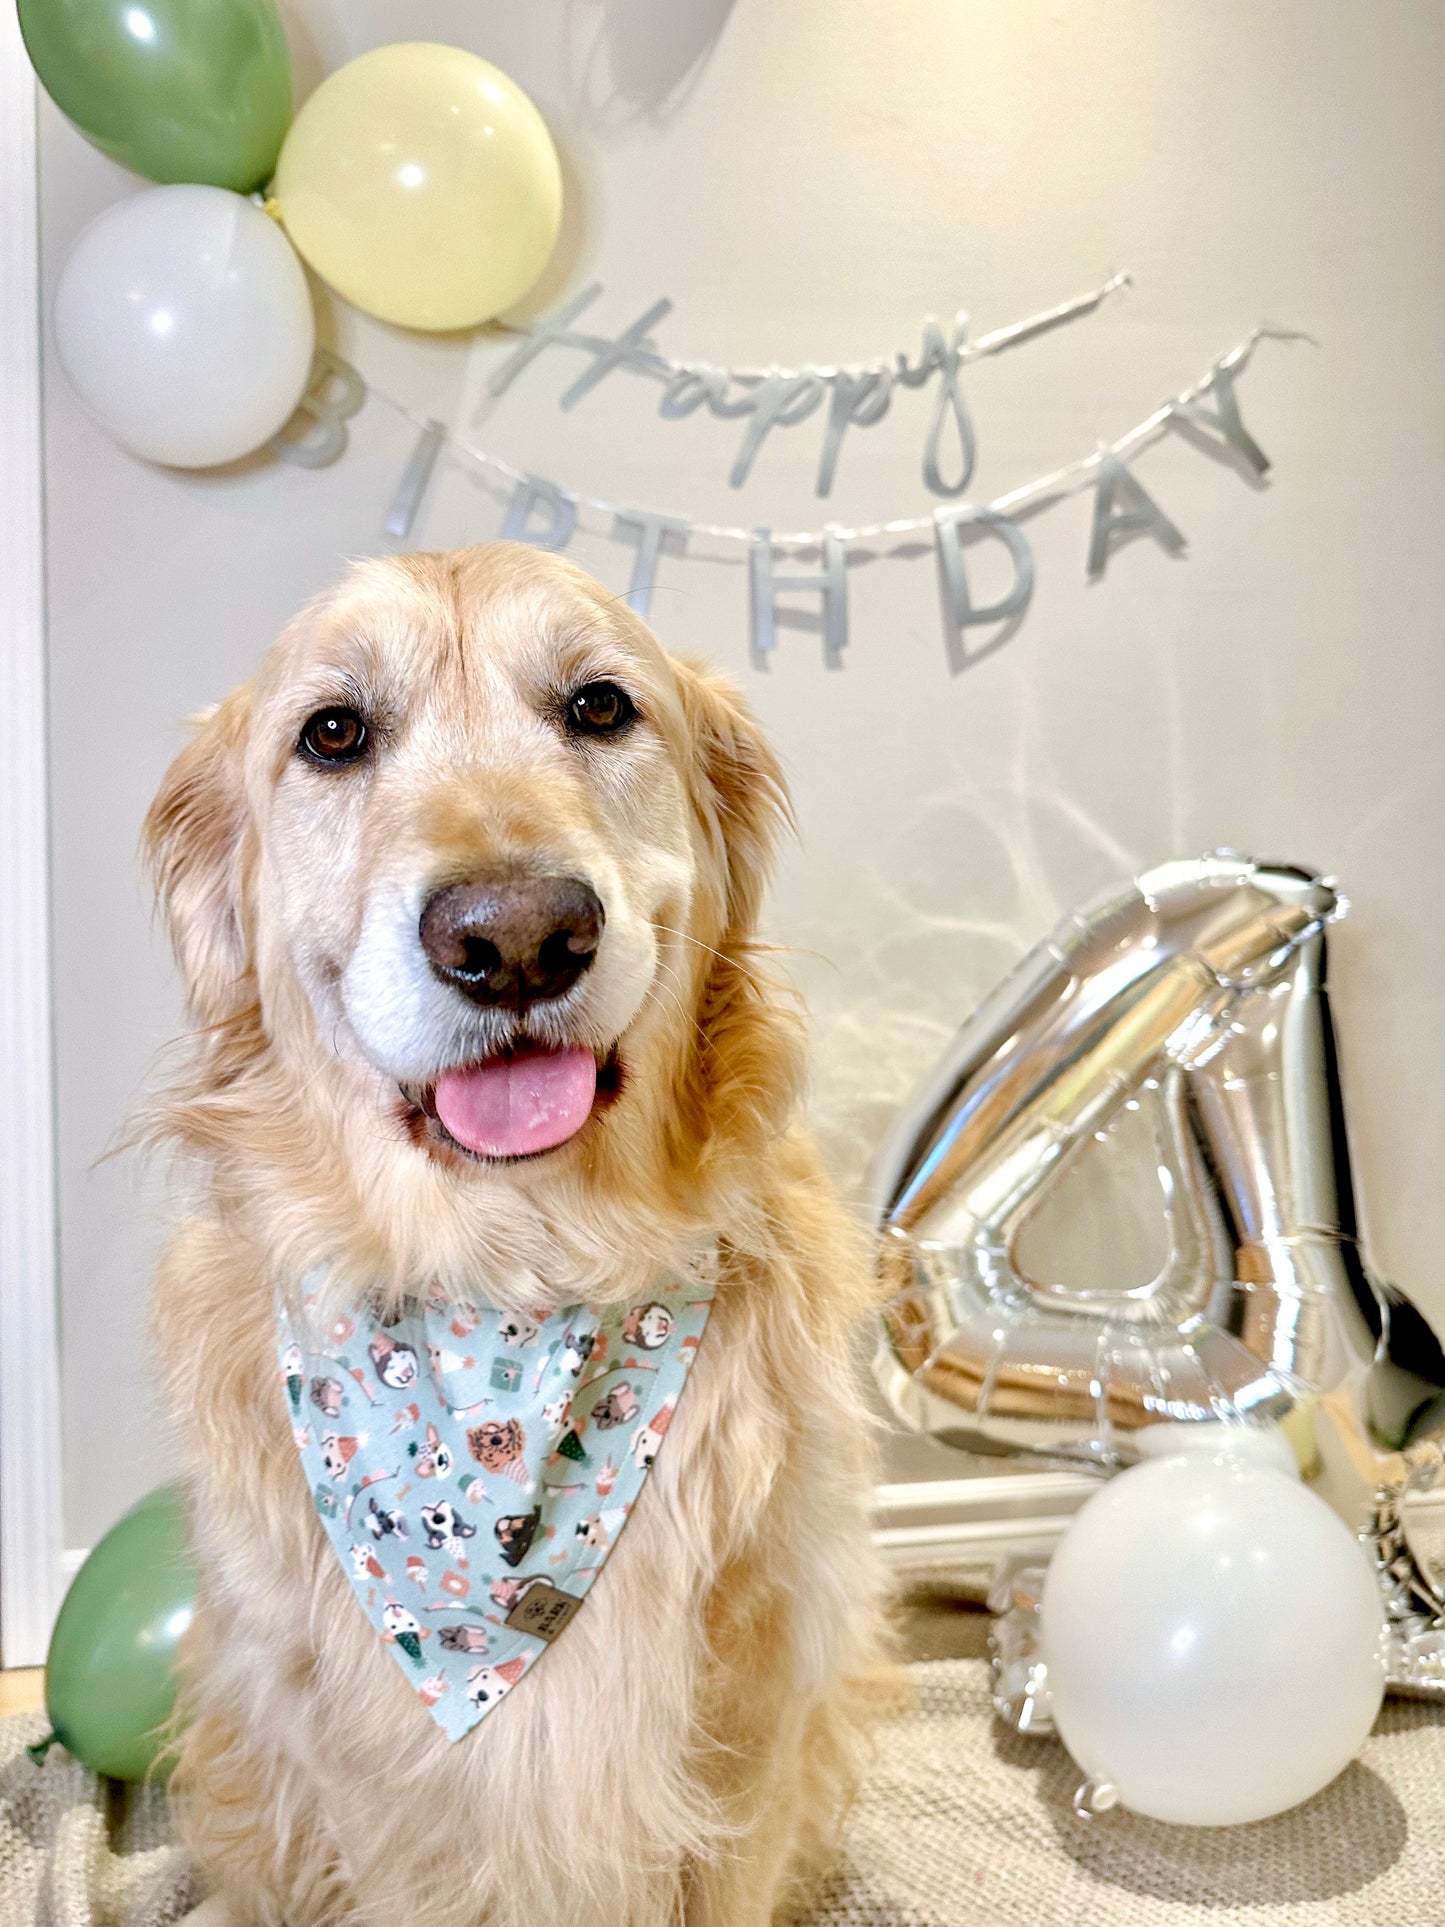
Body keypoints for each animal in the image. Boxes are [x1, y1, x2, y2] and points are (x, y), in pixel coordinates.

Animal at [150, 543, 893, 1927]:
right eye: (332, 733)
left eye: (599, 707)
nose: (516, 936)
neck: (514, 1283)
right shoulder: (378, 1769)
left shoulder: (753, 1716)